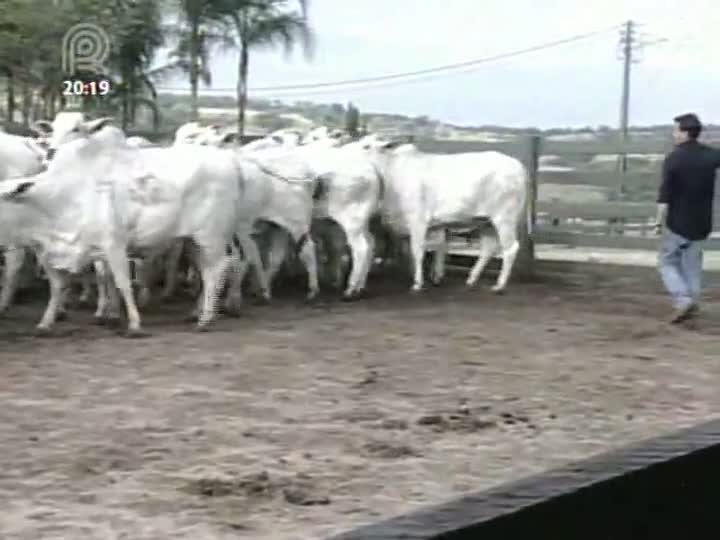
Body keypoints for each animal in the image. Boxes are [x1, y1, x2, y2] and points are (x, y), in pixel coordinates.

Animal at [0, 119, 243, 334]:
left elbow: (122, 282)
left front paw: (133, 323)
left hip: (212, 236)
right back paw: (197, 312)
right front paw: (47, 322)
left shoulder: (114, 245)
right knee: (205, 270)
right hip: (192, 240)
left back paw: (206, 318)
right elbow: (60, 287)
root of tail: (230, 163)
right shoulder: (52, 251)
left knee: (219, 269)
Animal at [358, 137, 528, 294]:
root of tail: (518, 166)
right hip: (486, 221)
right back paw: (472, 279)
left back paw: (499, 285)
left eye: (367, 146)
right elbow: (438, 248)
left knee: (510, 248)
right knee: (488, 248)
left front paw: (418, 283)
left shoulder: (418, 220)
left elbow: (417, 251)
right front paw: (435, 277)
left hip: (505, 218)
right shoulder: (432, 226)